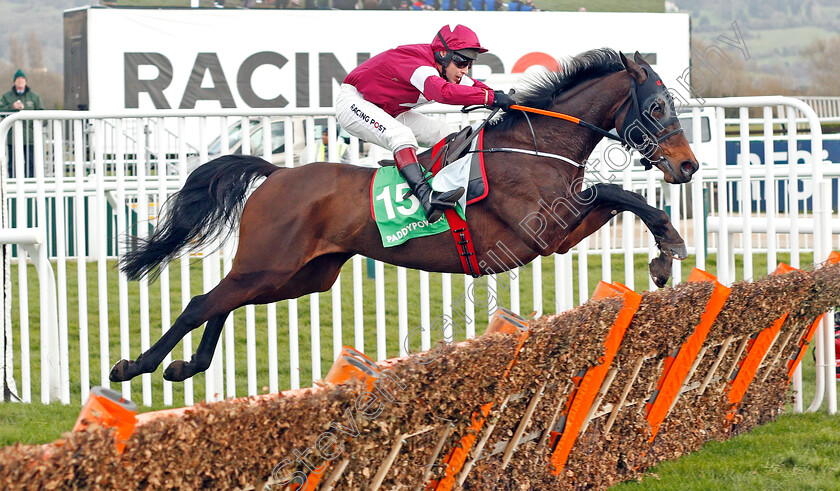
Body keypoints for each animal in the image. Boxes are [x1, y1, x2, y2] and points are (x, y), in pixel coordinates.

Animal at [113, 50, 704, 384]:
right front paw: (669, 248)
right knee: (200, 302)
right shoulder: (546, 228)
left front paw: (664, 254)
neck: (537, 146)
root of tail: (276, 173)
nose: (688, 165)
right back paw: (135, 365)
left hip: (300, 275)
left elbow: (620, 197)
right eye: (656, 107)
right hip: (271, 262)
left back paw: (185, 366)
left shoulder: (563, 230)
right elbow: (617, 190)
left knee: (222, 303)